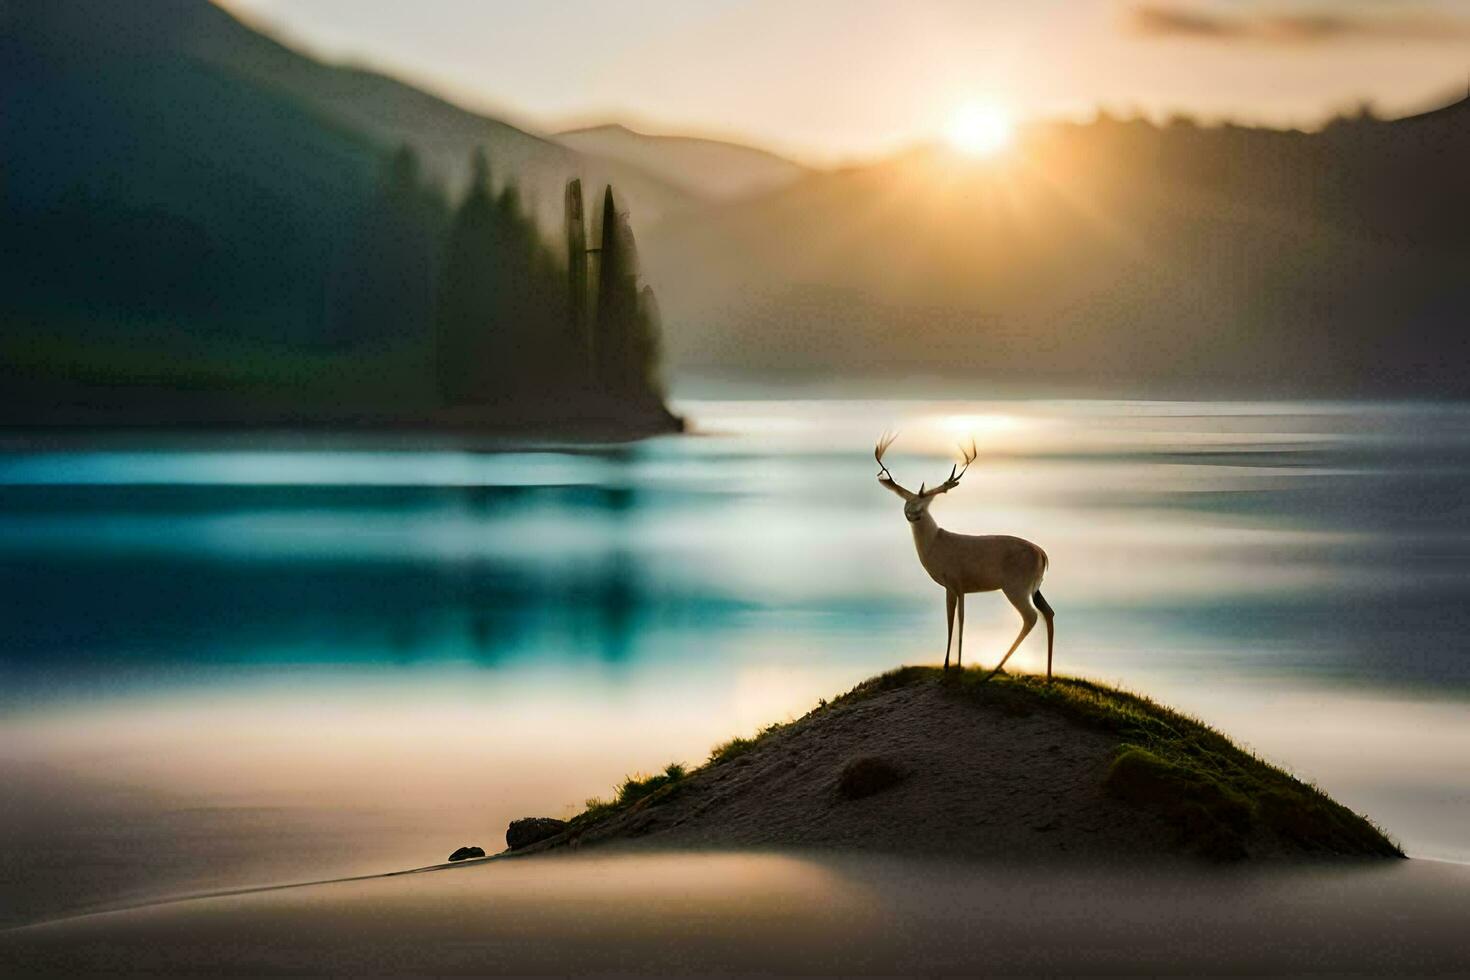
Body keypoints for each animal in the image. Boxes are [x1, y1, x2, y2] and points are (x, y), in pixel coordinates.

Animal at [876, 431, 1052, 687]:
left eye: (925, 503)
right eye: (906, 500)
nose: (912, 513)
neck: (935, 543)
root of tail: (1043, 554)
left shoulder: (954, 582)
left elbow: (956, 621)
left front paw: (953, 666)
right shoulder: (957, 587)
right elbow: (956, 620)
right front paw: (952, 665)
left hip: (1016, 586)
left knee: (1031, 617)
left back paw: (990, 674)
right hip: (1035, 588)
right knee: (1049, 612)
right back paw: (1047, 677)